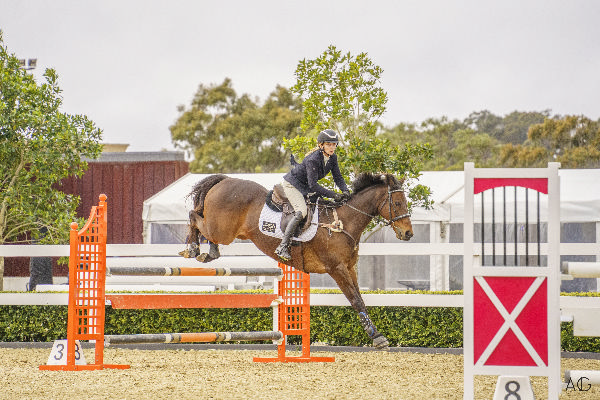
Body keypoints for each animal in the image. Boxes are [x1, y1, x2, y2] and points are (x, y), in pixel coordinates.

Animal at [178, 173, 412, 348]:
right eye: (398, 203)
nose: (408, 233)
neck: (342, 223)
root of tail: (224, 180)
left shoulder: (349, 268)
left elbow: (360, 298)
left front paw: (375, 334)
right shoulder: (337, 269)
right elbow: (355, 299)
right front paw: (377, 337)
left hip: (223, 230)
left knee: (201, 222)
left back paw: (209, 251)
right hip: (222, 229)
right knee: (194, 215)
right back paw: (193, 248)